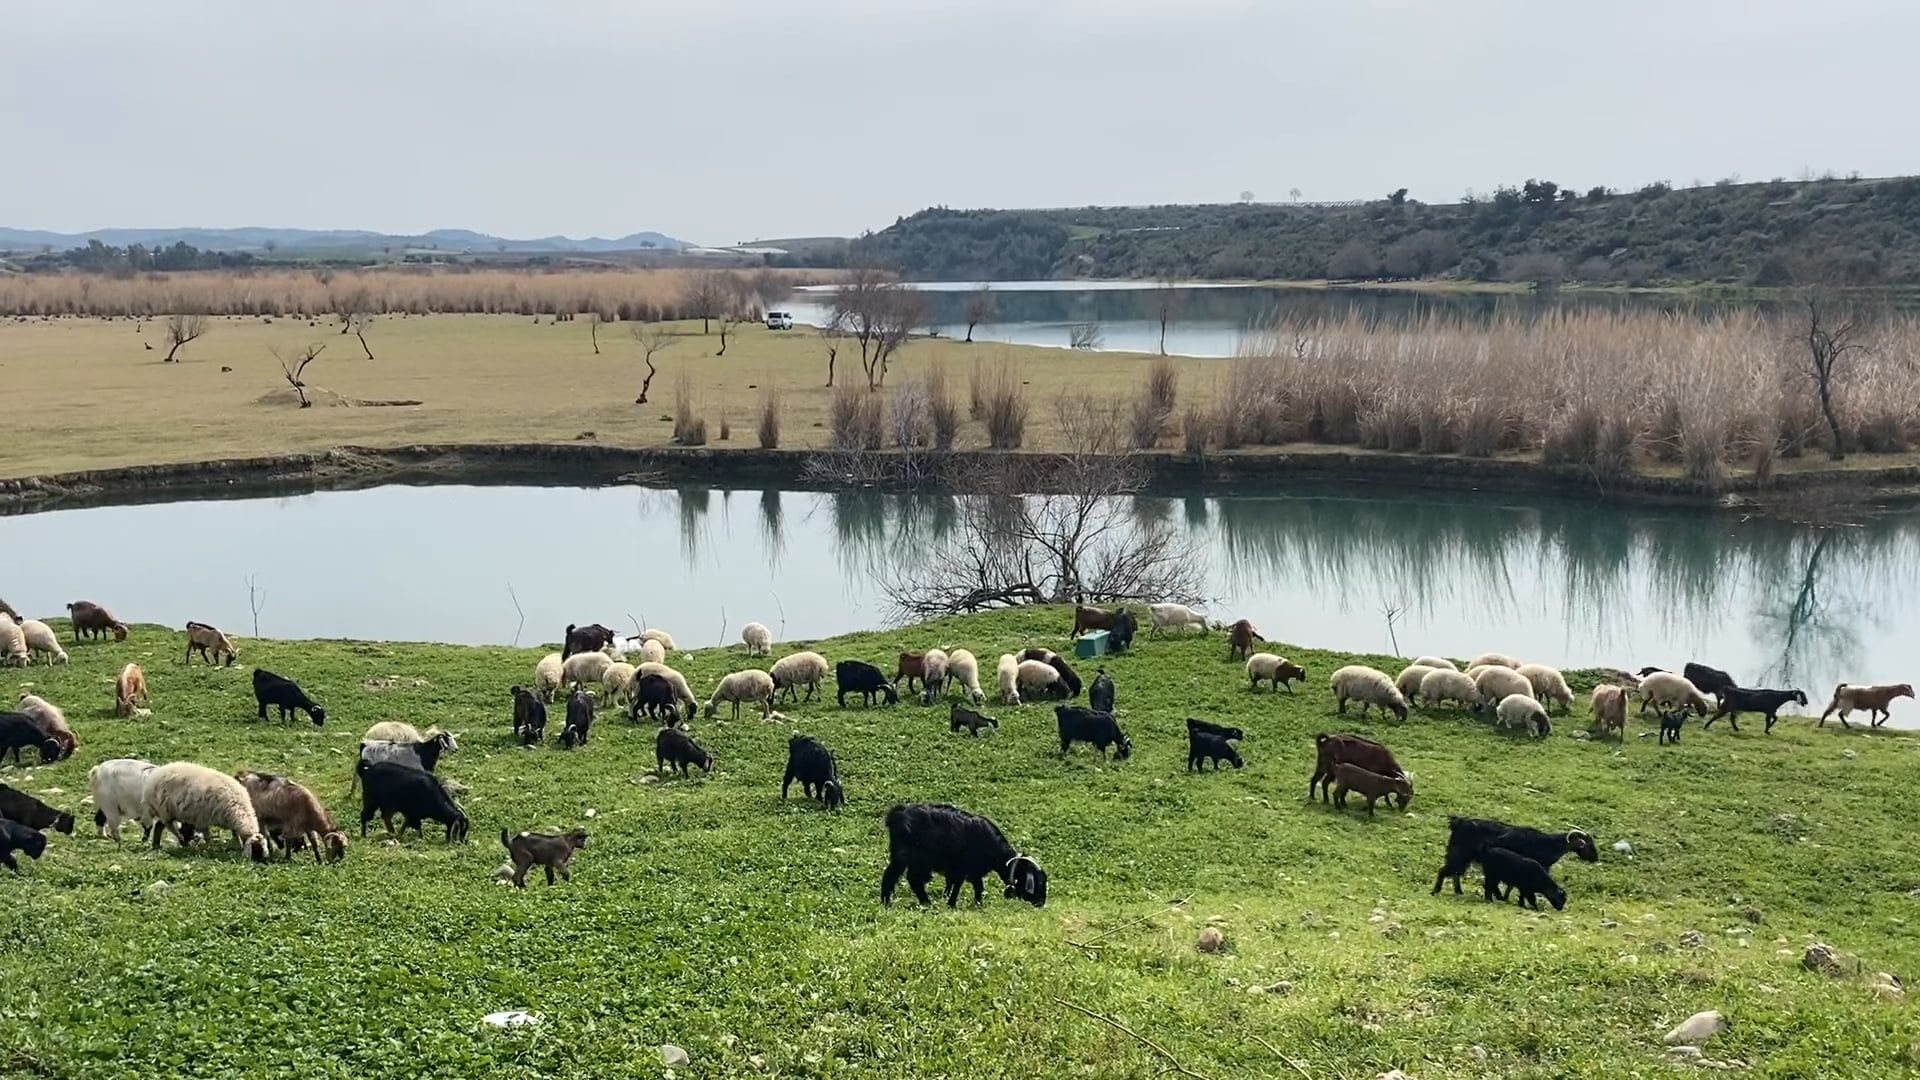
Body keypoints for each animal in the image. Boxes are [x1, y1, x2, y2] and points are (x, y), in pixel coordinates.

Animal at [143, 762, 271, 862]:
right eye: (256, 849)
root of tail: (155, 776)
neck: (239, 808)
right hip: (166, 810)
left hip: (169, 812)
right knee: (169, 827)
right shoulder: (202, 820)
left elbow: (234, 833)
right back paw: (181, 841)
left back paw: (157, 845)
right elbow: (208, 836)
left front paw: (238, 844)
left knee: (159, 825)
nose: (260, 862)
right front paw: (210, 847)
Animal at [880, 802, 1047, 908]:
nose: (1041, 903)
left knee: (896, 876)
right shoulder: (961, 867)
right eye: (1037, 883)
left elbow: (977, 886)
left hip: (904, 856)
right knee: (910, 879)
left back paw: (887, 902)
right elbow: (959, 884)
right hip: (915, 857)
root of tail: (897, 814)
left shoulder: (972, 871)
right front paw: (952, 903)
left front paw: (978, 903)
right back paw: (924, 903)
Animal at [1432, 817, 1597, 896]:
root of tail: (1457, 821)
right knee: (1446, 870)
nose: (1595, 858)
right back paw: (1436, 891)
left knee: (1455, 873)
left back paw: (1458, 891)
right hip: (1460, 854)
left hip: (1463, 856)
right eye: (1588, 844)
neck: (1548, 844)